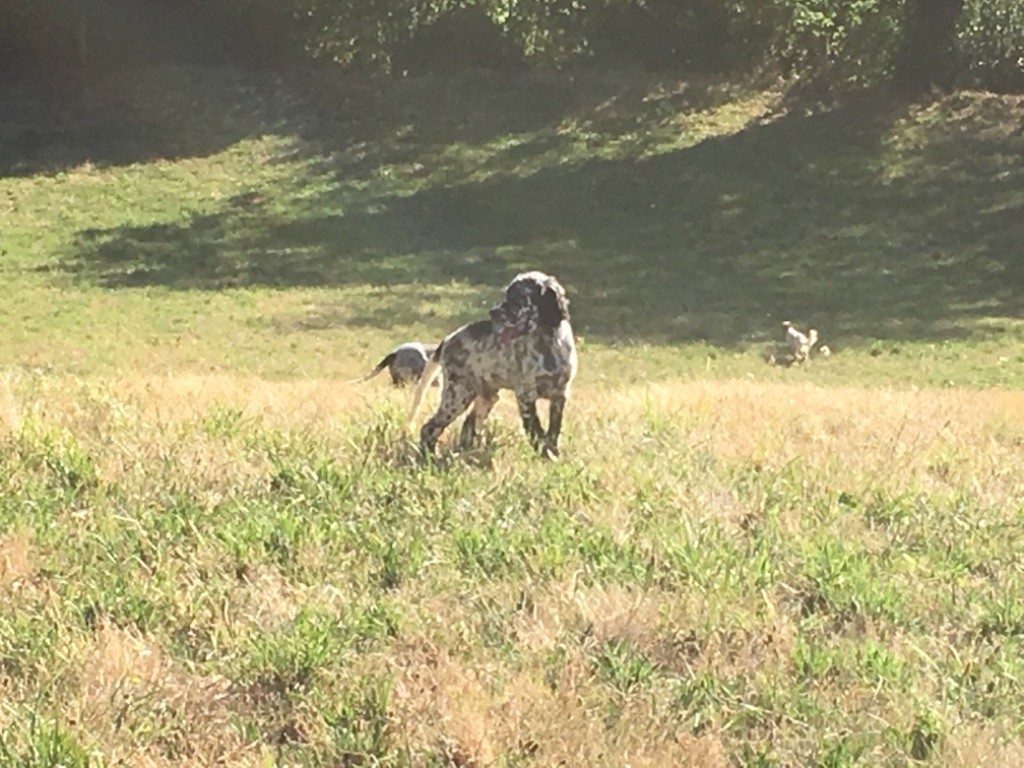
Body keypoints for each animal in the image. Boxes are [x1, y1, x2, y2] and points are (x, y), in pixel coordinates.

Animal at [411, 274, 581, 460]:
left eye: (518, 297)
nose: (492, 312)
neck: (546, 345)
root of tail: (448, 339)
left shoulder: (560, 395)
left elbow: (553, 431)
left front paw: (553, 454)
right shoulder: (526, 395)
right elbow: (536, 431)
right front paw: (546, 455)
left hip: (487, 397)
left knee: (467, 426)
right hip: (457, 396)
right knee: (429, 427)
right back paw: (428, 456)